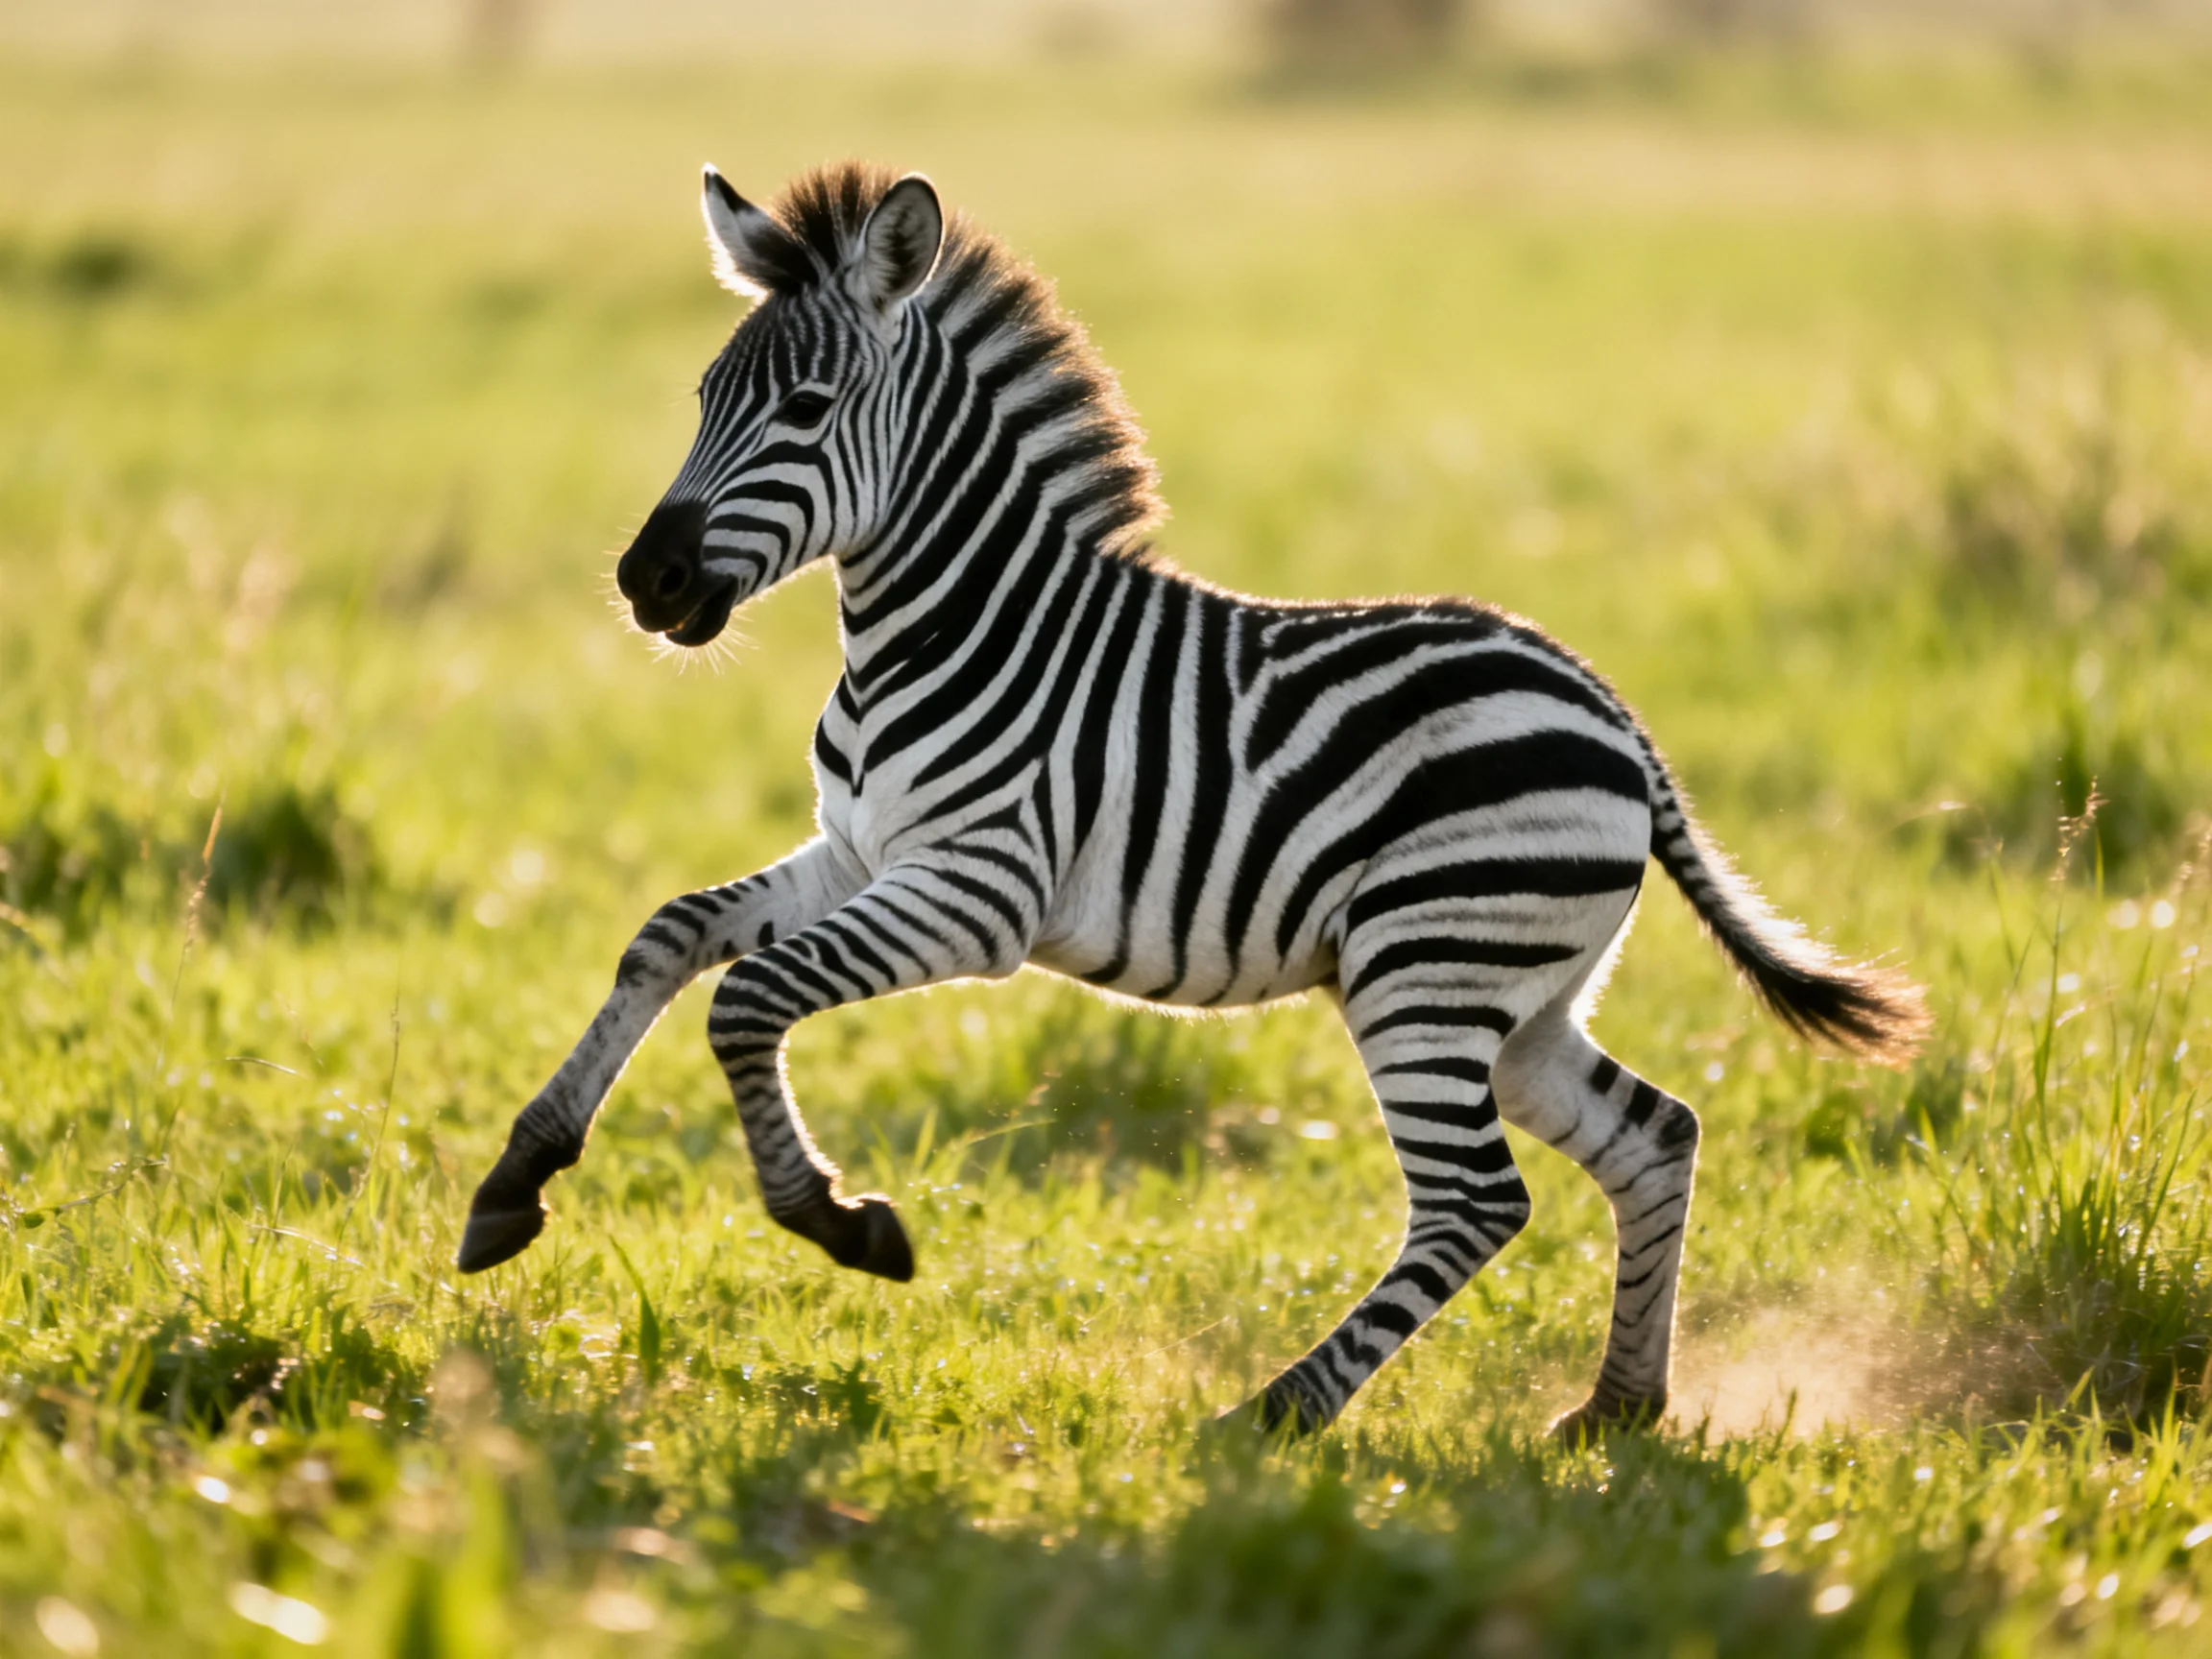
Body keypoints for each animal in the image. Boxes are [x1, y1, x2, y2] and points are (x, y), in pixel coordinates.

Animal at [457, 161, 1927, 1438]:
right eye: (706, 396)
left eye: (808, 407)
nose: (645, 583)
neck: (935, 634)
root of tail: (1617, 718)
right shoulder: (859, 851)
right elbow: (669, 934)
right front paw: (516, 1180)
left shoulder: (977, 894)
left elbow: (748, 997)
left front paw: (840, 1220)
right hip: (1518, 1000)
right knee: (1653, 1136)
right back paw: (1616, 1410)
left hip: (1425, 969)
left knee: (1474, 1203)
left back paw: (1273, 1417)